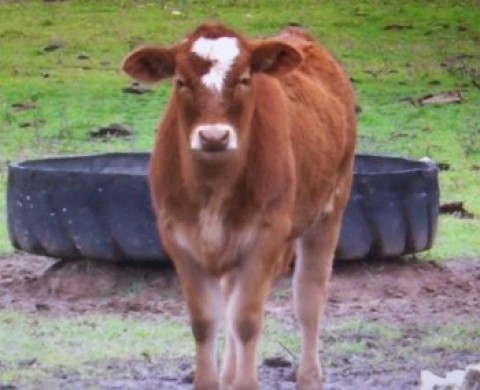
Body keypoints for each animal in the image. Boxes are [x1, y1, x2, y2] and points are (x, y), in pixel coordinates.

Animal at [123, 22, 356, 388]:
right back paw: (229, 374)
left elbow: (246, 320)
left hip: (332, 206)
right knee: (231, 294)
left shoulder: (267, 235)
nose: (214, 136)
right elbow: (205, 320)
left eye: (245, 79)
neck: (213, 189)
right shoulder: (177, 237)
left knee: (309, 296)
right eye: (180, 81)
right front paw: (211, 382)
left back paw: (308, 376)